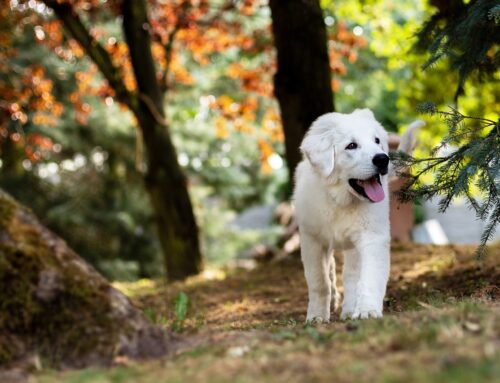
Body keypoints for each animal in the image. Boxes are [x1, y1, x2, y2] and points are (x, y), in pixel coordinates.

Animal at [292, 109, 422, 322]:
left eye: (376, 140)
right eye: (351, 146)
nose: (382, 159)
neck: (341, 201)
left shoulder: (372, 237)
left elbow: (368, 277)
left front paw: (367, 310)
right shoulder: (312, 239)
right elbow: (319, 281)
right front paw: (317, 316)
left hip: (354, 246)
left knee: (351, 275)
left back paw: (349, 309)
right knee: (331, 270)